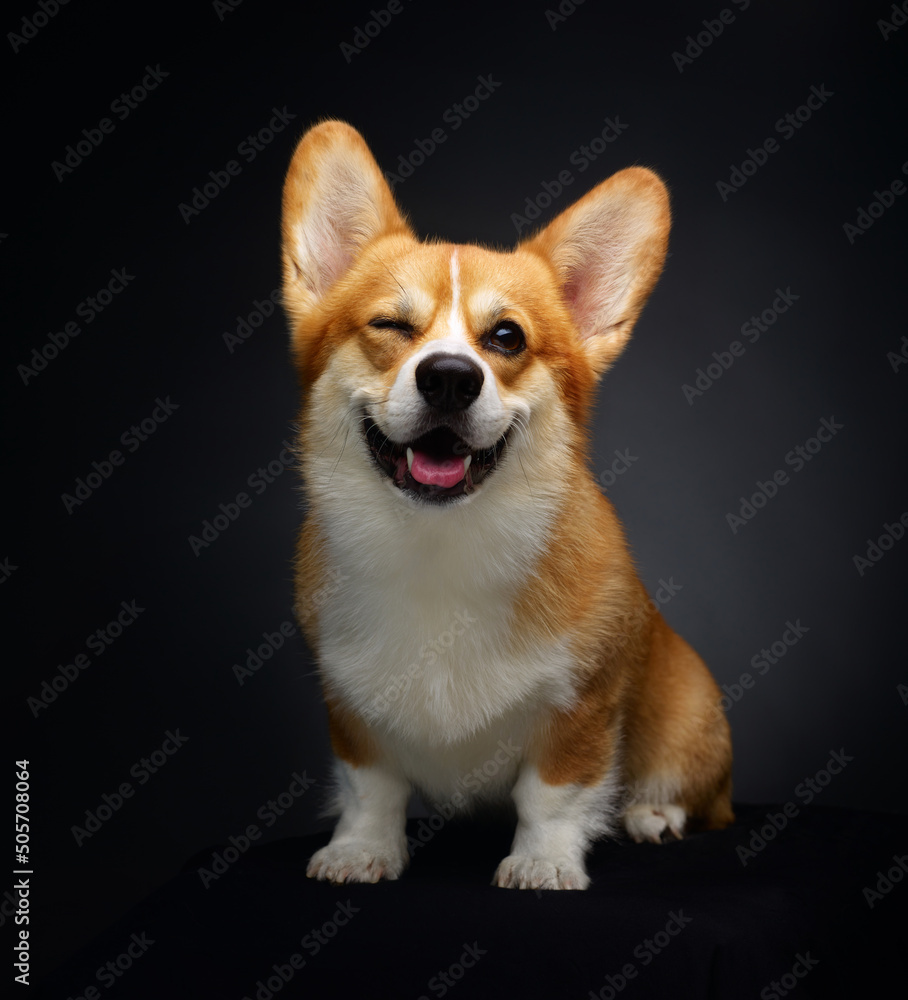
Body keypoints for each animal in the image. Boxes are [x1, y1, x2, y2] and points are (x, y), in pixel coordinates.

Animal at [280, 119, 736, 892]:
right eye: (391, 326)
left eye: (506, 338)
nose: (450, 378)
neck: (440, 547)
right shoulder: (349, 706)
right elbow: (370, 787)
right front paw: (360, 850)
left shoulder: (580, 707)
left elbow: (553, 793)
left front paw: (543, 863)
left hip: (691, 717)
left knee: (694, 797)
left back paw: (652, 816)